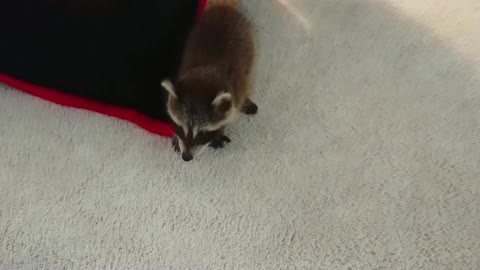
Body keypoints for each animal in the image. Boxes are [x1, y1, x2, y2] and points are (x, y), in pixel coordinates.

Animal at [161, 0, 256, 160]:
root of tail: (225, 8)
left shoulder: (235, 89)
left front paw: (219, 133)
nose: (186, 157)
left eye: (202, 133)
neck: (206, 74)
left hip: (249, 49)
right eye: (180, 127)